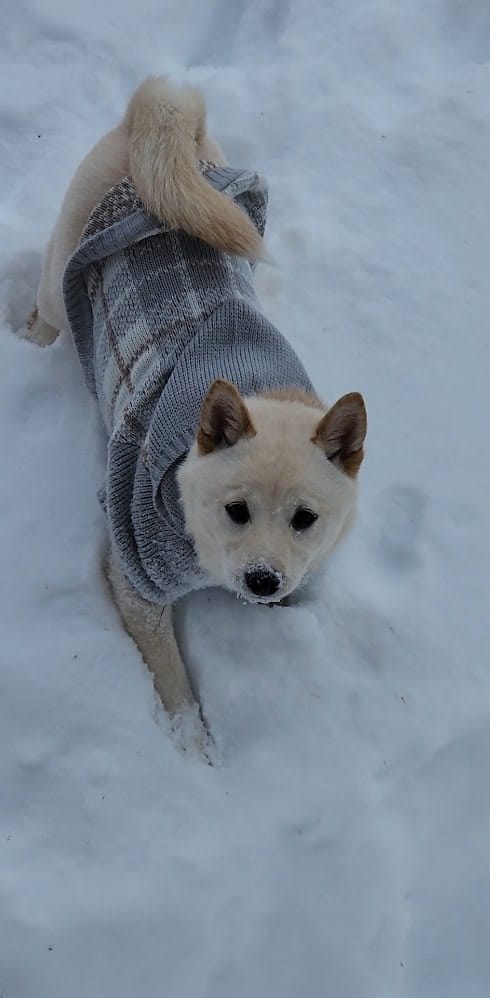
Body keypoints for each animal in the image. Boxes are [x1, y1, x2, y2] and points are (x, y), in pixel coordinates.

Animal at [24, 74, 366, 740]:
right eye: (236, 510)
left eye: (305, 519)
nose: (263, 581)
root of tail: (158, 117)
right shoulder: (136, 582)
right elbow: (173, 681)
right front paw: (192, 745)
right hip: (62, 275)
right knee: (44, 306)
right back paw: (31, 341)